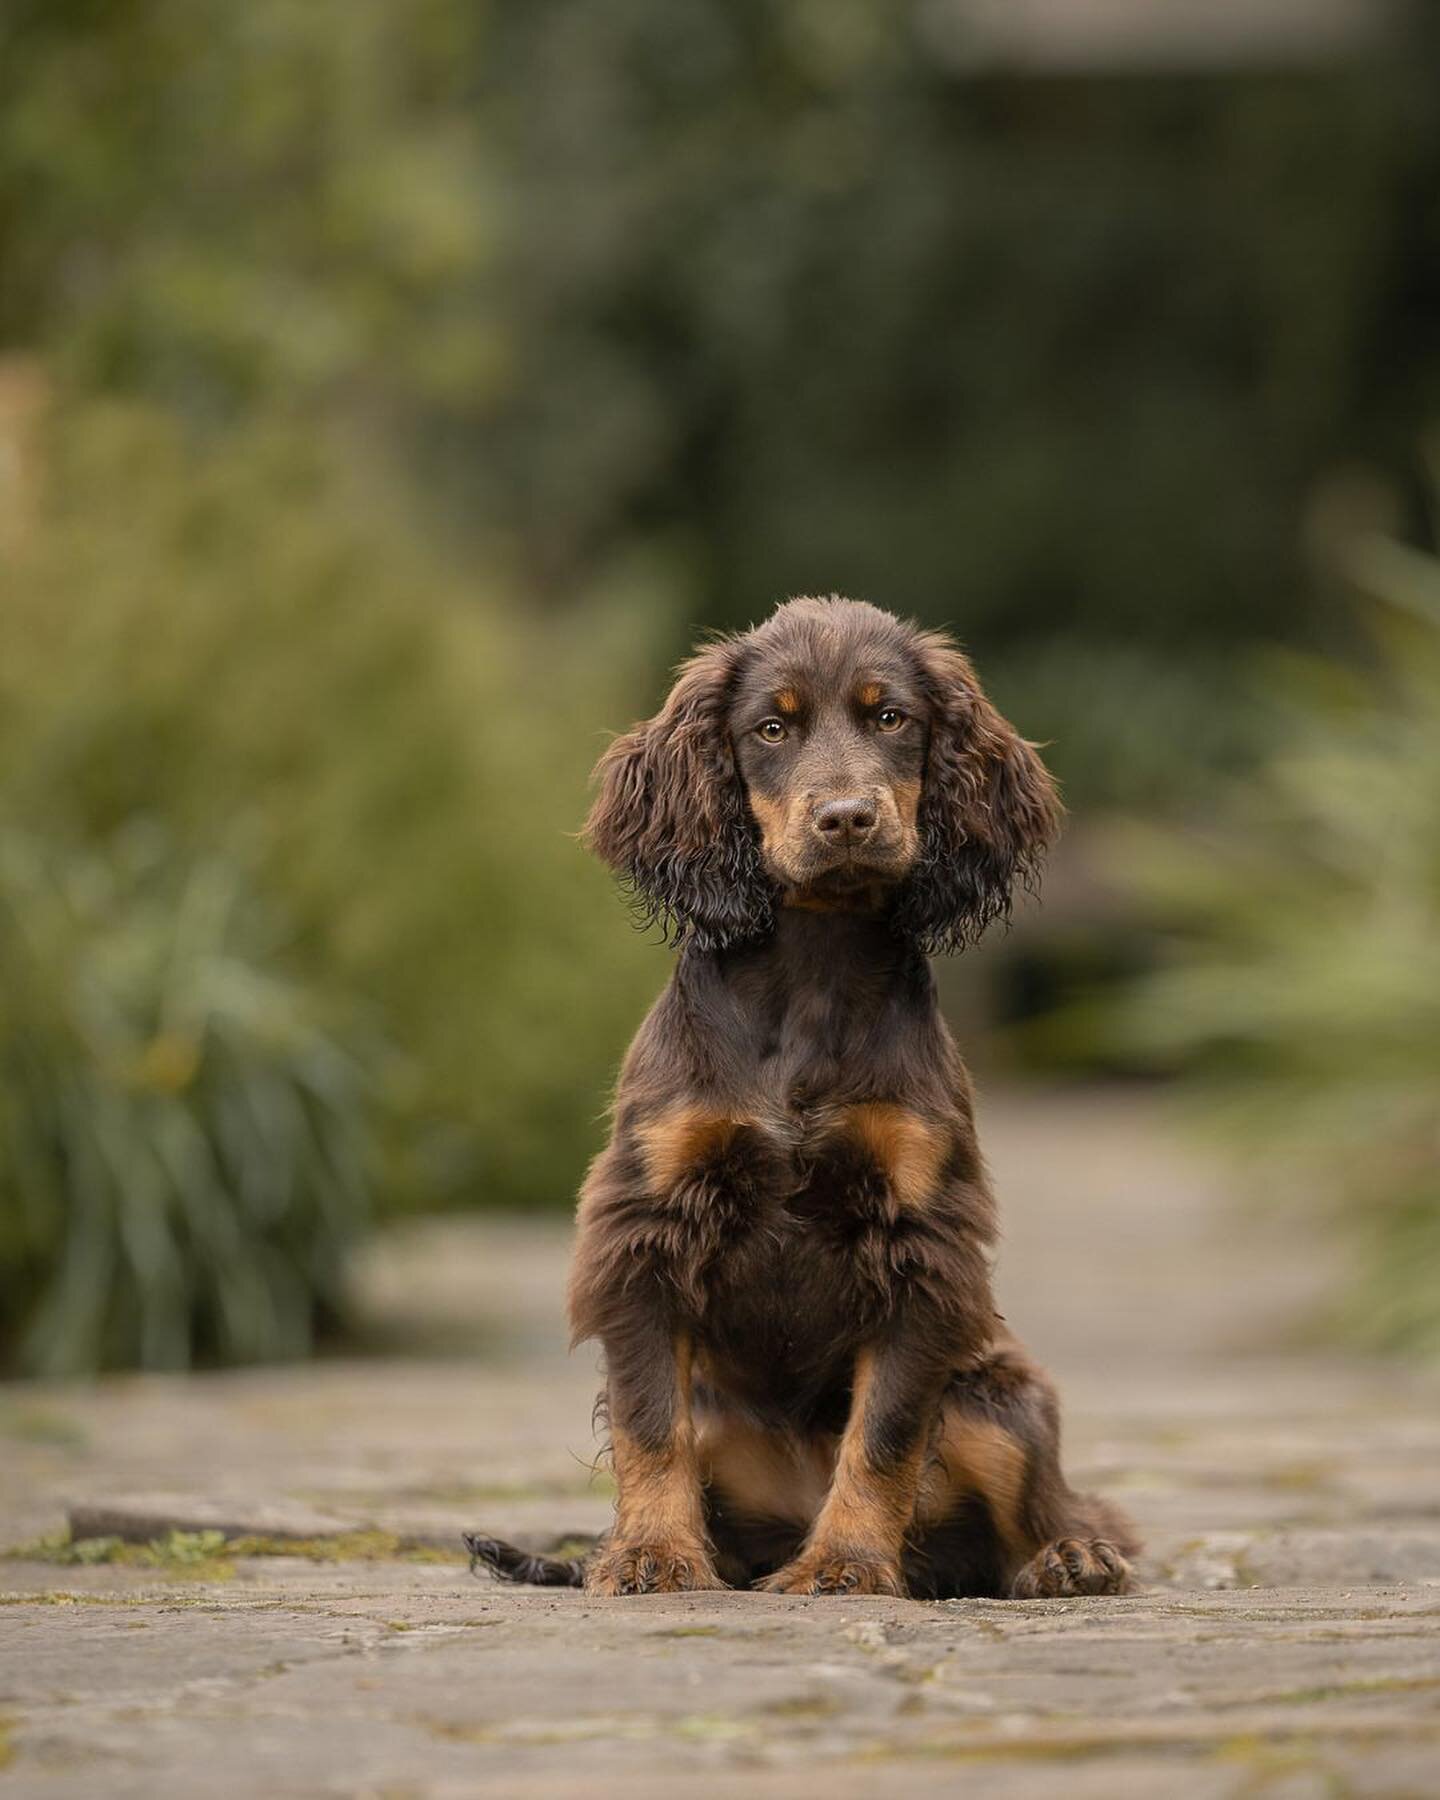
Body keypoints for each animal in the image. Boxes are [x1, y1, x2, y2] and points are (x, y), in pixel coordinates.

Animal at [468, 597, 1144, 1598]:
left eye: (891, 717)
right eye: (771, 729)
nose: (847, 817)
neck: (812, 973)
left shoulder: (922, 1245)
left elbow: (885, 1433)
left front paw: (845, 1565)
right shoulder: (645, 1226)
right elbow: (650, 1423)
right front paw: (651, 1556)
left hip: (997, 1395)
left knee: (1045, 1515)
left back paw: (1070, 1560)